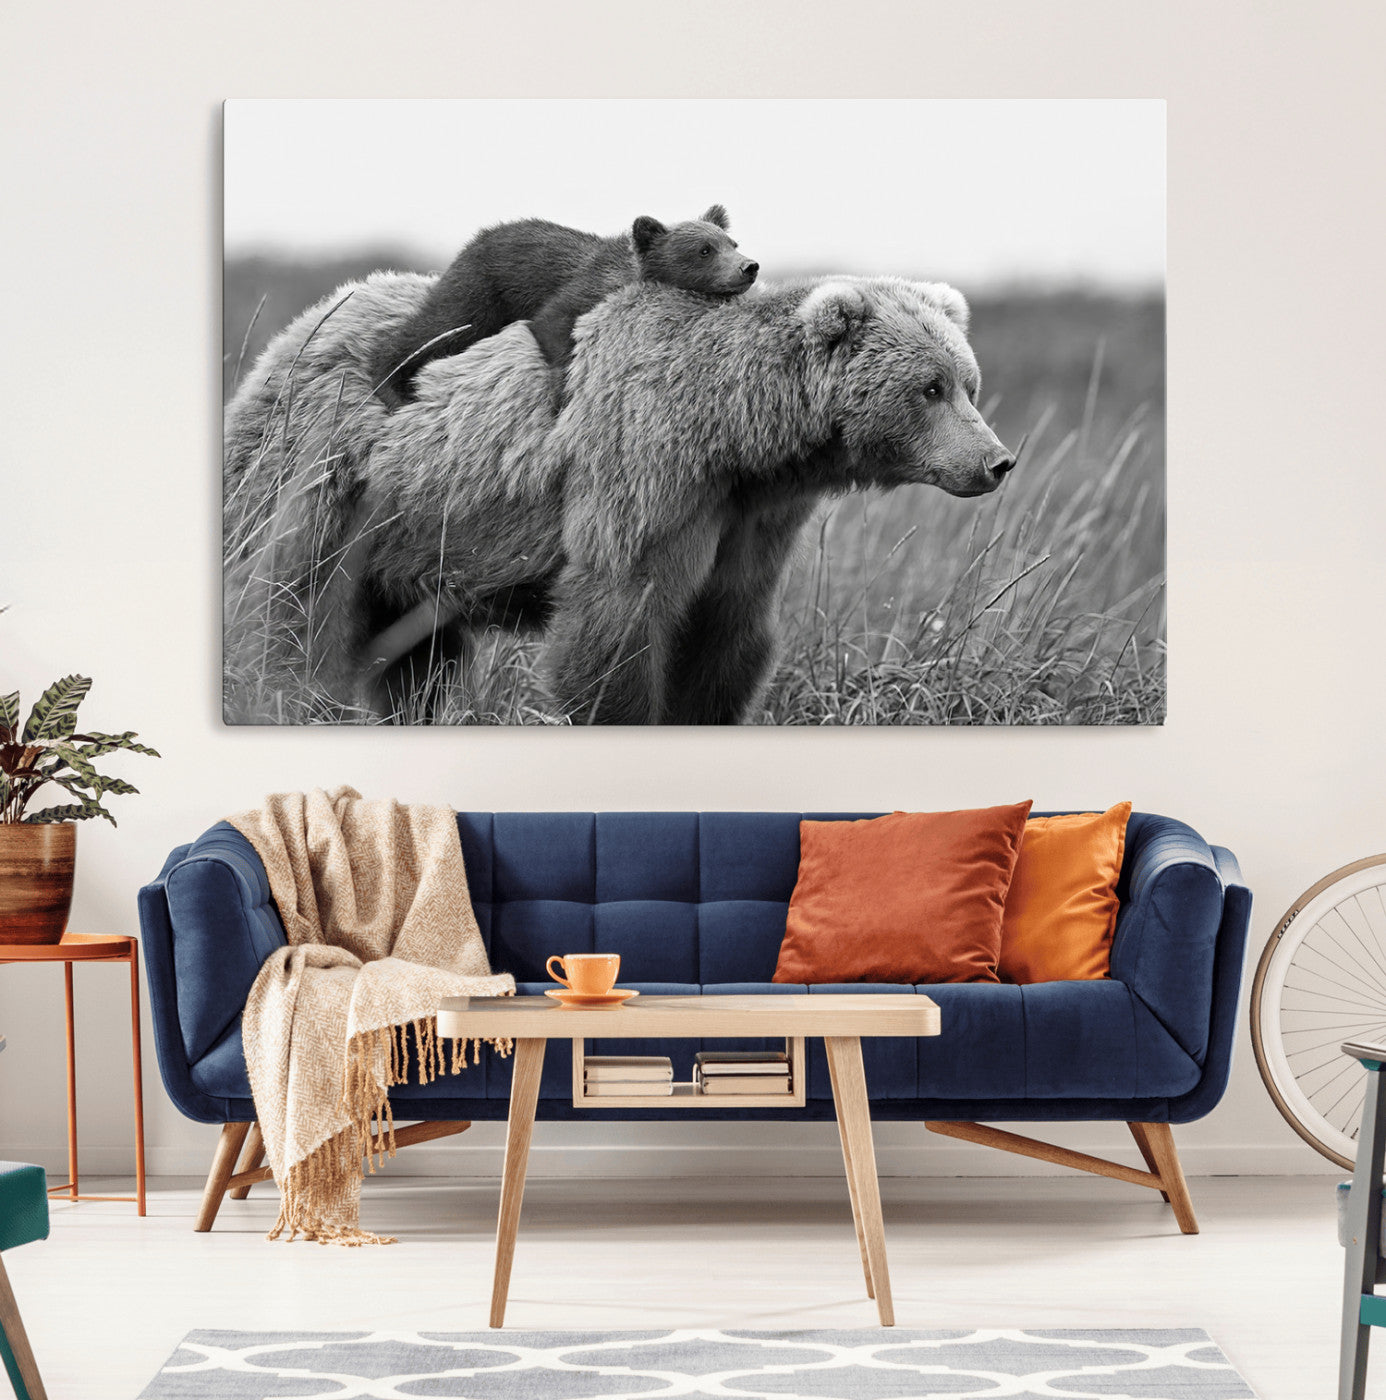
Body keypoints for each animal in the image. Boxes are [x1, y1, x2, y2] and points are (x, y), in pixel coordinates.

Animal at [223, 271, 1014, 724]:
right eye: (930, 387)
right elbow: (617, 623)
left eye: (968, 383)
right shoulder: (644, 473)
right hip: (329, 476)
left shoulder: (751, 520)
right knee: (291, 604)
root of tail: (303, 323)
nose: (997, 461)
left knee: (417, 656)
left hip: (415, 536)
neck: (737, 435)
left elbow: (726, 634)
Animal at [365, 205, 758, 408]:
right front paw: (561, 393)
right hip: (481, 290)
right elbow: (552, 323)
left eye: (732, 242)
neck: (629, 275)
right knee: (438, 327)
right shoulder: (582, 289)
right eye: (704, 250)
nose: (749, 267)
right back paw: (391, 384)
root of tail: (476, 238)